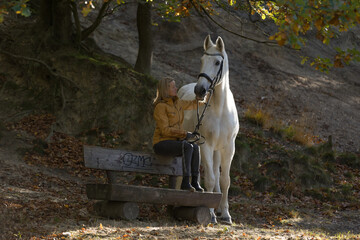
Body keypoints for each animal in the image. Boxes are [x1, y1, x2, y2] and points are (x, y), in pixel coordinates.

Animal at [178, 35, 239, 225]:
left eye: (218, 62)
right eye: (202, 60)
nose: (200, 90)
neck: (220, 109)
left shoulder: (228, 148)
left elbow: (225, 180)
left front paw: (226, 214)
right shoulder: (206, 145)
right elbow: (210, 179)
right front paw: (211, 214)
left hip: (217, 150)